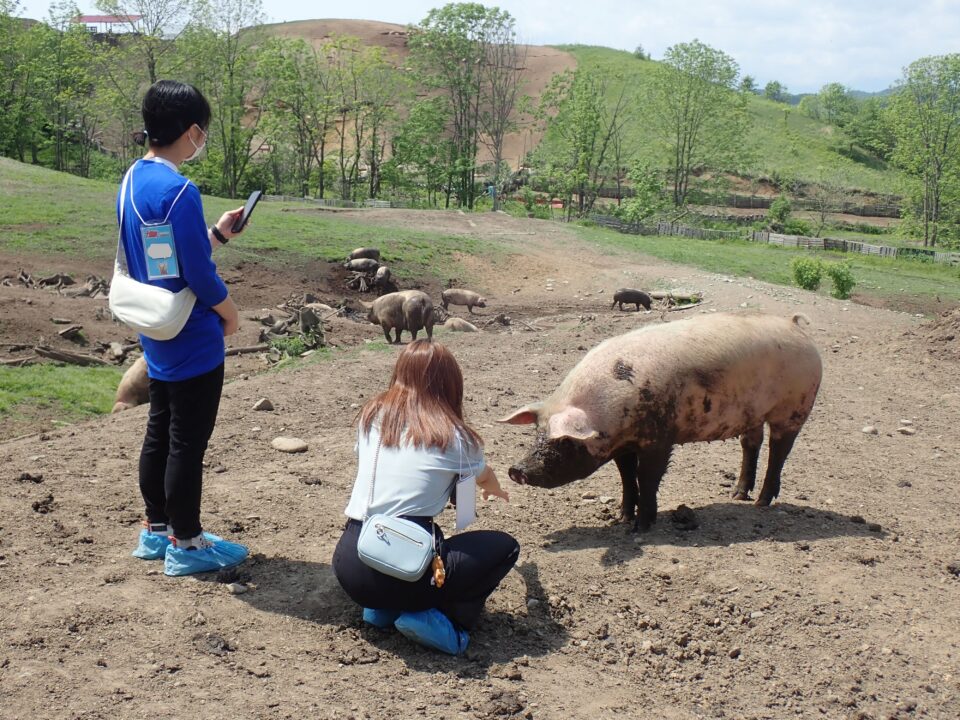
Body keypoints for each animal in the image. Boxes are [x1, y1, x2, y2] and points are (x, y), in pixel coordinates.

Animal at [498, 312, 820, 532]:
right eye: (538, 432)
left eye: (565, 441)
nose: (516, 469)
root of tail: (796, 327)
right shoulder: (623, 444)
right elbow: (627, 476)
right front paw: (622, 518)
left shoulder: (659, 437)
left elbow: (648, 476)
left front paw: (642, 526)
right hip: (753, 414)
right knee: (751, 444)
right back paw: (738, 495)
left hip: (795, 407)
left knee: (779, 451)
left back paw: (760, 503)